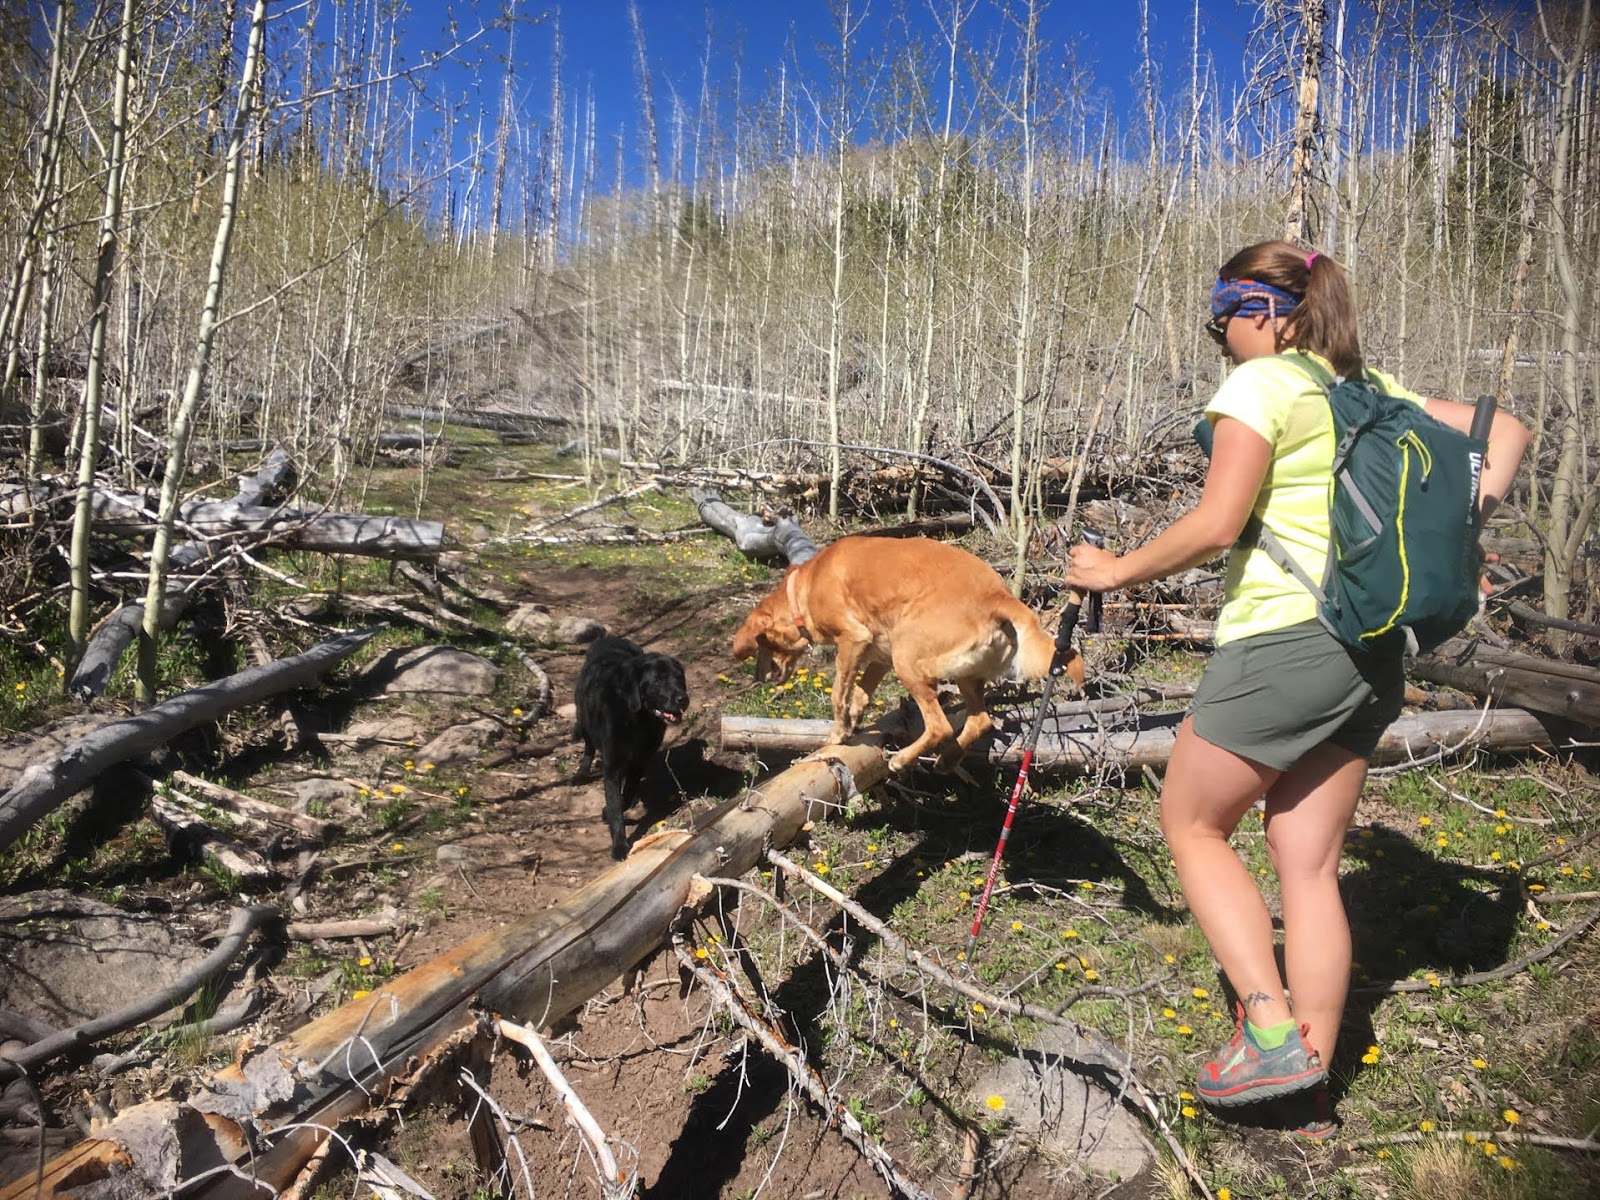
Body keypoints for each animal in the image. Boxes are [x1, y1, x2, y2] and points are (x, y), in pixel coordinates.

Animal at [576, 633, 688, 857]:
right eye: (657, 681)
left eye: (679, 677)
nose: (683, 699)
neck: (638, 721)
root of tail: (607, 637)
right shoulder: (612, 767)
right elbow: (615, 806)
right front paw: (619, 846)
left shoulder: (640, 761)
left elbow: (625, 796)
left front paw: (613, 810)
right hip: (583, 721)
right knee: (588, 747)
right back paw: (582, 772)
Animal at [729, 534, 1081, 771]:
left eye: (761, 645)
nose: (759, 677)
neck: (805, 585)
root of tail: (998, 596)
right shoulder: (877, 656)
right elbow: (860, 694)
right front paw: (853, 722)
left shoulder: (853, 639)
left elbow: (838, 693)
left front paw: (837, 735)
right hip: (962, 674)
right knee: (980, 721)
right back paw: (947, 759)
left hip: (907, 658)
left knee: (940, 726)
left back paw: (902, 759)